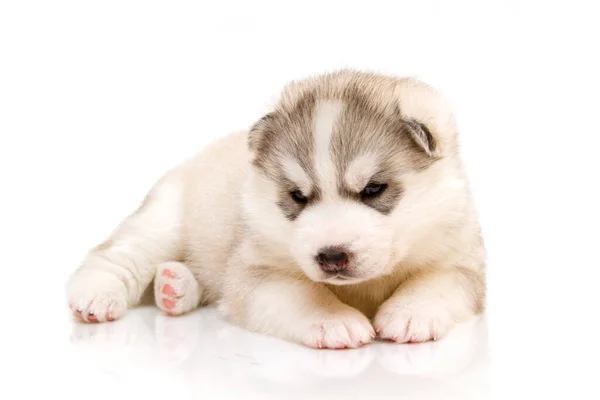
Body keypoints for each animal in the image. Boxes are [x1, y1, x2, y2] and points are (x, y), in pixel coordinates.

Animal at [67, 70, 488, 348]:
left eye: (373, 189)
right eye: (298, 196)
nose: (332, 256)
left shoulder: (461, 259)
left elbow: (436, 282)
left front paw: (411, 312)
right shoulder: (256, 269)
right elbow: (301, 294)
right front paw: (333, 320)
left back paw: (174, 287)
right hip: (165, 218)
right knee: (117, 254)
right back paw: (97, 295)